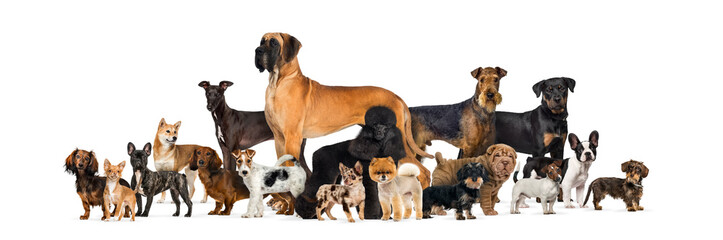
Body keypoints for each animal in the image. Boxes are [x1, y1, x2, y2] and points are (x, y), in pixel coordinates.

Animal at [256, 32, 432, 188]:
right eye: (261, 41)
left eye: (274, 42)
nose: (257, 51)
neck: (278, 83)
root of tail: (396, 96)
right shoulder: (279, 139)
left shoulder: (292, 138)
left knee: (424, 172)